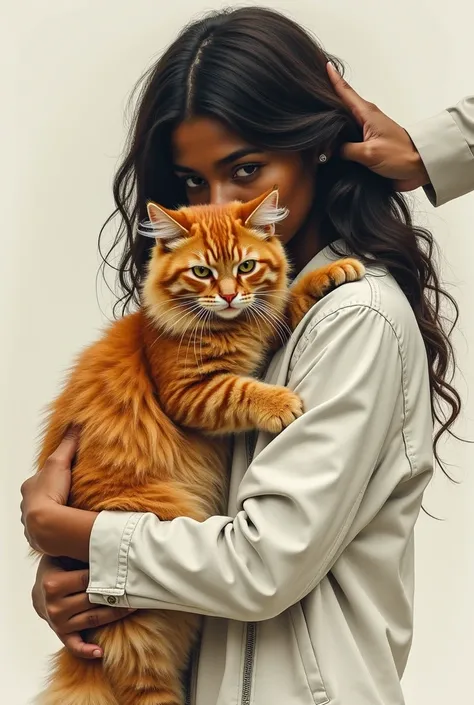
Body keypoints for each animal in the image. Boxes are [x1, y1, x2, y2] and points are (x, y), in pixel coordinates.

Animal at [35, 188, 364, 704]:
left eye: (246, 266)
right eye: (203, 272)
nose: (229, 295)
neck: (230, 328)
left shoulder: (261, 331)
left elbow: (284, 306)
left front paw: (331, 272)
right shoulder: (191, 392)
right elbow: (241, 390)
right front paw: (282, 403)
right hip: (143, 631)